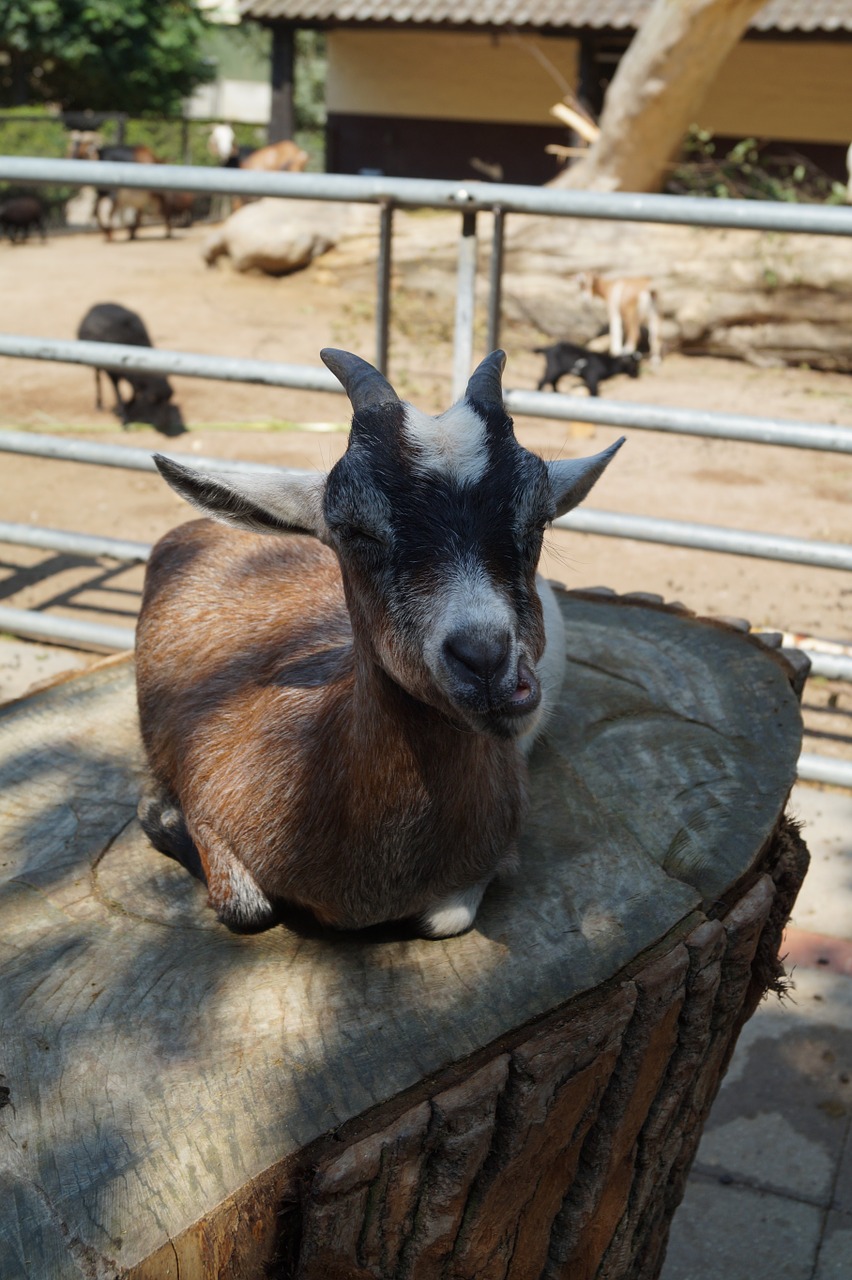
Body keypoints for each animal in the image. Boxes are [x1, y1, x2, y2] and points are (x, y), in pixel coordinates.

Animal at [77, 303, 184, 435]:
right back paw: (99, 405)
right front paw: (124, 419)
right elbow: (119, 394)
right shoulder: (113, 373)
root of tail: (98, 304)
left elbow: (135, 392)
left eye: (169, 398)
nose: (165, 424)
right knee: (97, 378)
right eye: (152, 399)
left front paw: (127, 406)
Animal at [136, 350, 621, 942]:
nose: (488, 665)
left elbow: (447, 919)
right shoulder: (208, 799)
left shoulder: (496, 852)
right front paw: (161, 813)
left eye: (540, 519)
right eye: (354, 529)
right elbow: (245, 908)